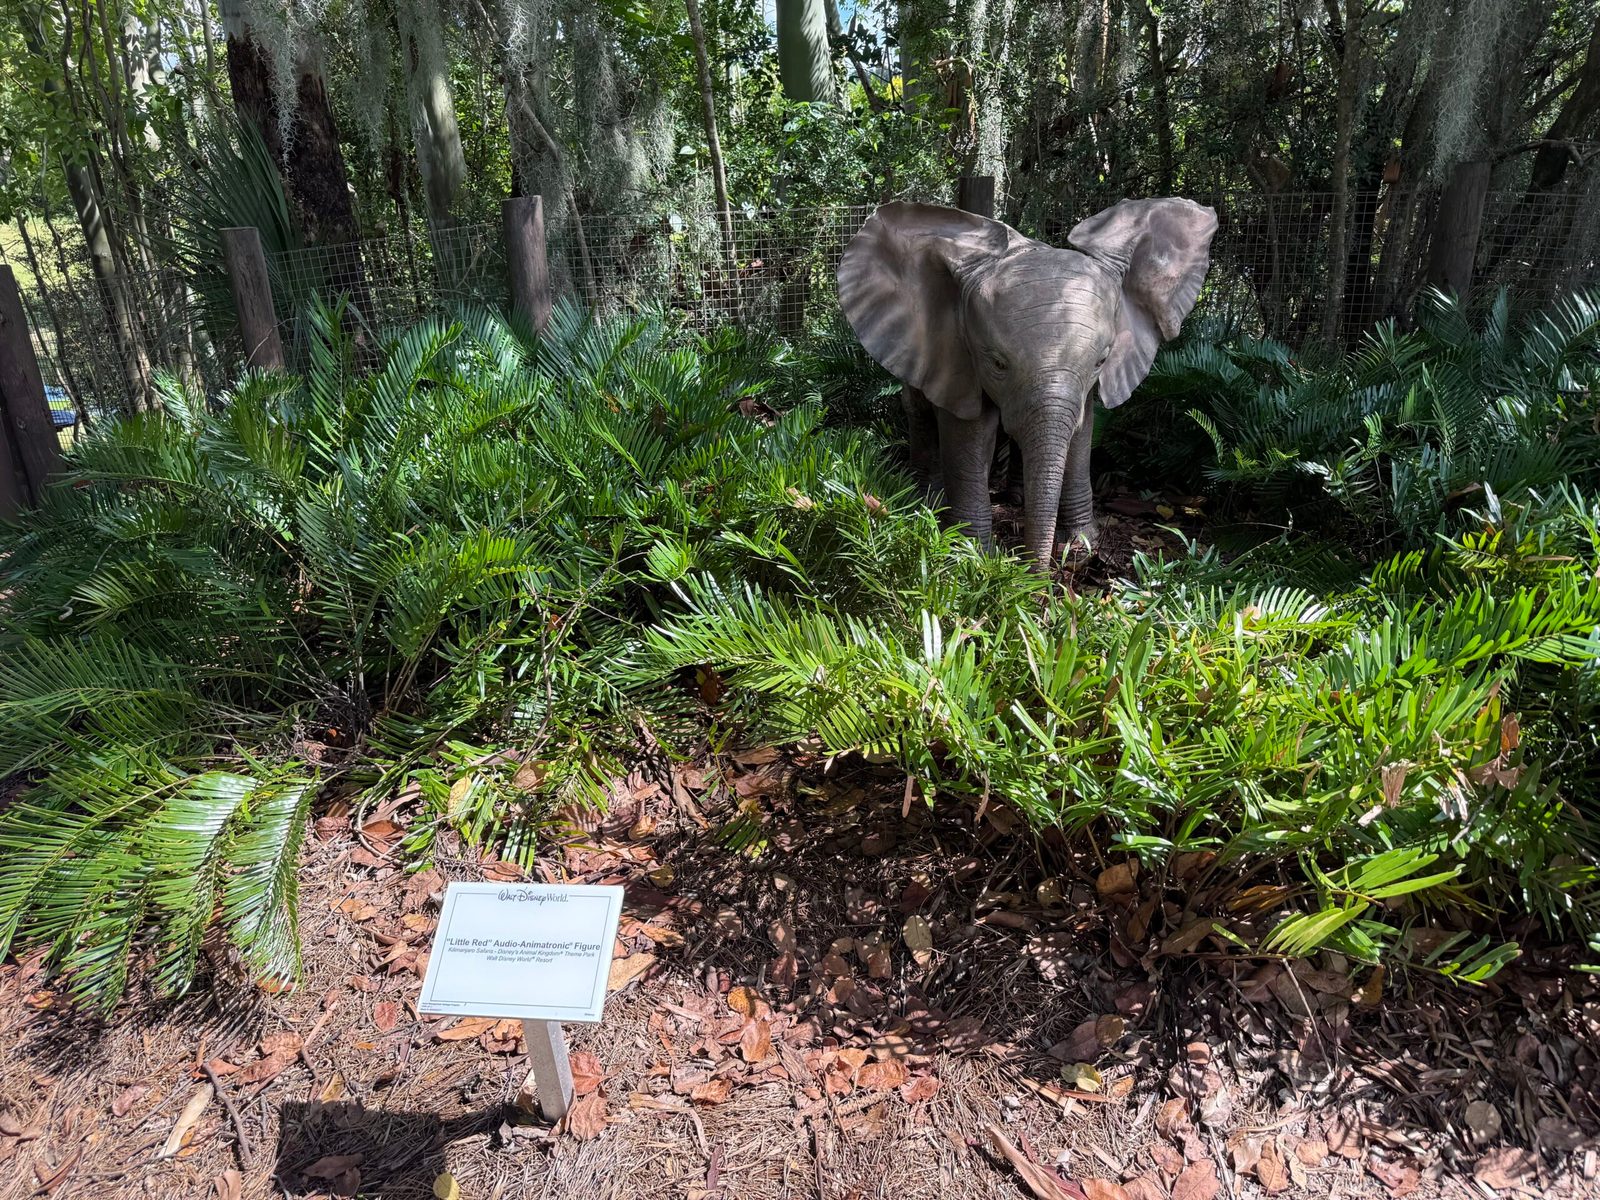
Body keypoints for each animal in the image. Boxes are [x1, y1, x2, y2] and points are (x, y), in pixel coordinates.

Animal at [836, 198, 1218, 567]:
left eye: (1101, 361)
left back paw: (1015, 496)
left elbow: (1081, 435)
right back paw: (926, 497)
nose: (1036, 573)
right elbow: (969, 436)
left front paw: (1081, 544)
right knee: (919, 410)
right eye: (997, 363)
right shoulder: (958, 359)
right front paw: (972, 555)